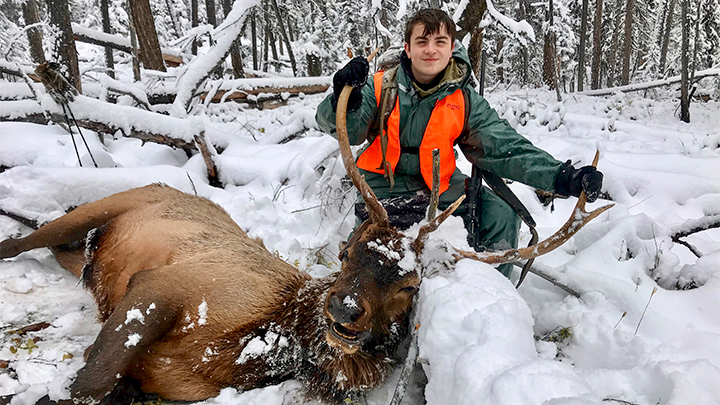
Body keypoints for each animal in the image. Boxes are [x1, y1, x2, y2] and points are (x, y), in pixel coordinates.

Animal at [0, 76, 612, 404]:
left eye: (410, 285)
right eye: (345, 253)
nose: (345, 311)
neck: (266, 339)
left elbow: (106, 383)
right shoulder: (160, 287)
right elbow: (86, 383)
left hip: (90, 253)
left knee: (67, 254)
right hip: (107, 207)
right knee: (31, 236)